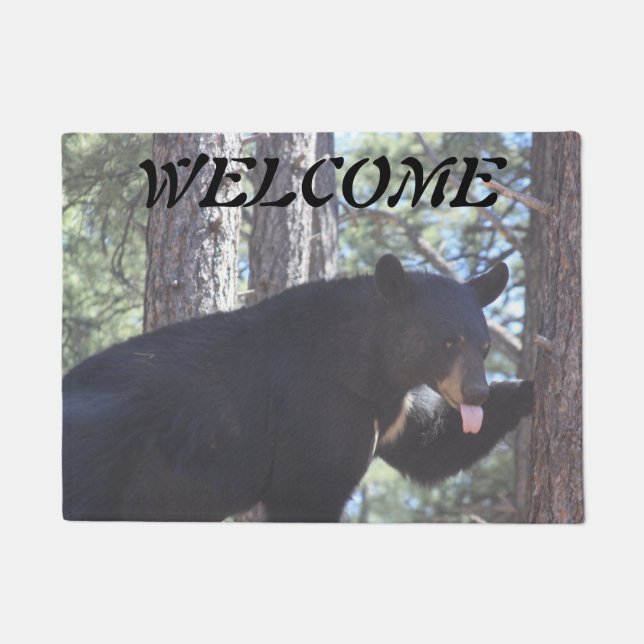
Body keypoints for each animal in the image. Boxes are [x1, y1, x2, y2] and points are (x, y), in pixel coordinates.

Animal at [62, 253, 533, 522]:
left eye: (485, 346)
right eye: (448, 341)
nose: (476, 394)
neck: (372, 365)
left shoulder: (390, 408)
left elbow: (429, 447)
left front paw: (528, 387)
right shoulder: (321, 404)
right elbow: (309, 488)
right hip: (99, 462)